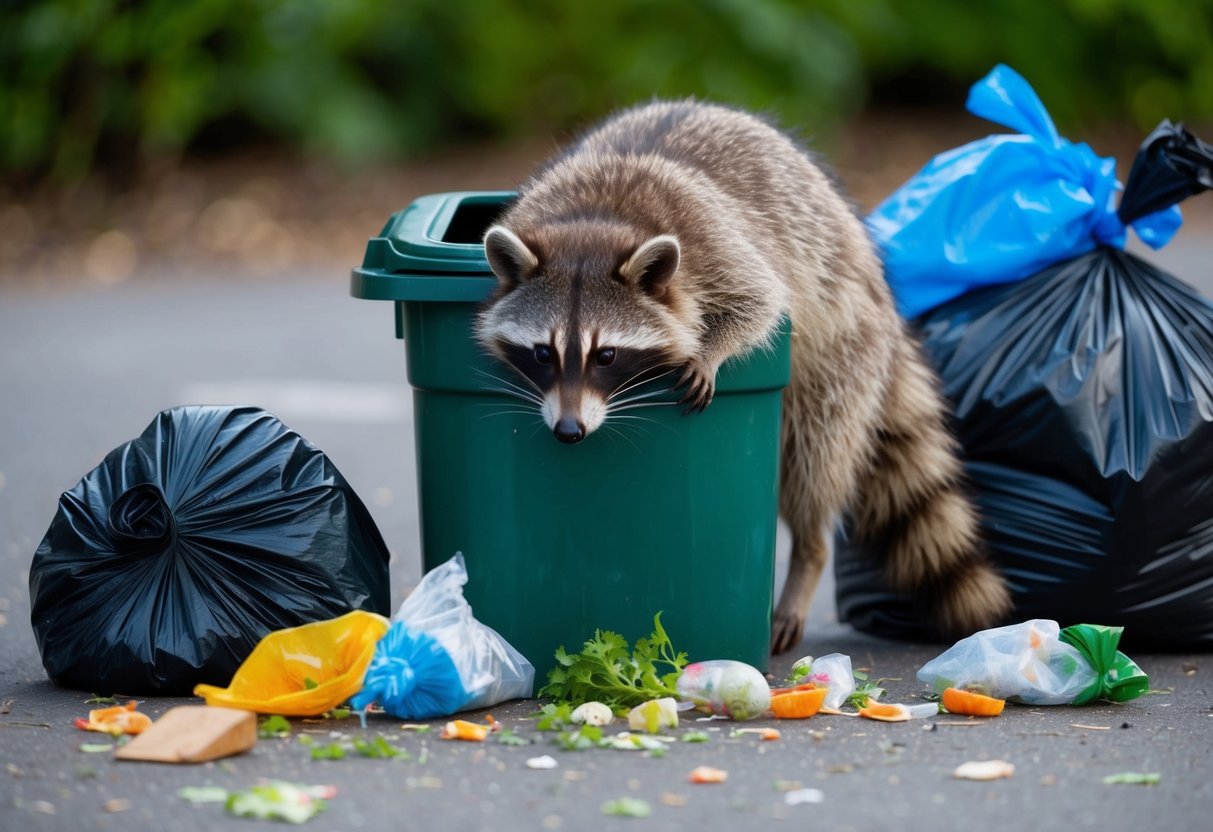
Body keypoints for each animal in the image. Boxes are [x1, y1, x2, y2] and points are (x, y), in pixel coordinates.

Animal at [475, 99, 1012, 652]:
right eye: (543, 353)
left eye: (606, 356)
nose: (569, 431)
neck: (597, 218)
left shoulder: (711, 243)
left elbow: (762, 299)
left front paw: (712, 348)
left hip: (844, 346)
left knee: (815, 460)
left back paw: (809, 552)